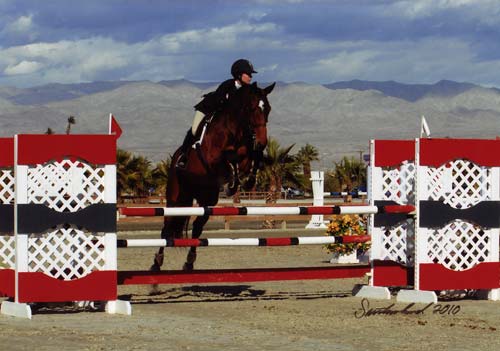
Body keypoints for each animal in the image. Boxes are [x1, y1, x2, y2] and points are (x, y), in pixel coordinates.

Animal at [152, 82, 278, 272]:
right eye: (252, 108)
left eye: (268, 109)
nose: (262, 142)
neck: (234, 129)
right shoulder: (213, 158)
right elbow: (230, 157)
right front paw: (232, 185)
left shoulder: (247, 154)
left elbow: (252, 157)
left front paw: (246, 182)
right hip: (176, 198)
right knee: (167, 228)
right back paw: (156, 263)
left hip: (207, 199)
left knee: (197, 227)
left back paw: (189, 262)